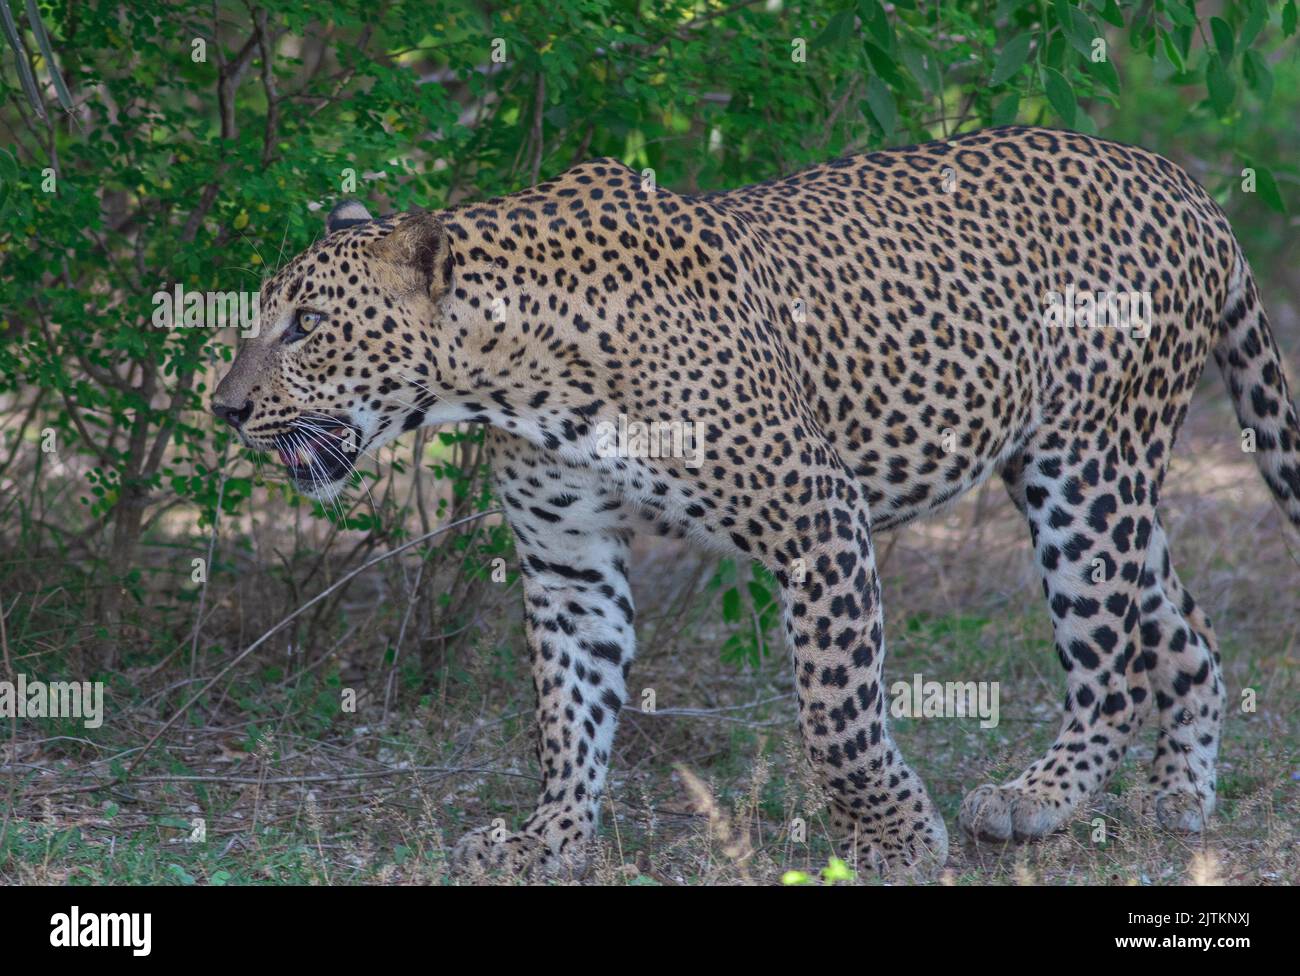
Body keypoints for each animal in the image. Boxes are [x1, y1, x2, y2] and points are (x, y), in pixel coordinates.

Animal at [213, 126, 1300, 883]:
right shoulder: (569, 562)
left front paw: (896, 838)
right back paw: (1178, 795)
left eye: (306, 325)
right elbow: (568, 714)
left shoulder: (816, 516)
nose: (224, 407)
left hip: (1087, 470)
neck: (509, 374)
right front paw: (548, 839)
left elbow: (836, 712)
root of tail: (1186, 186)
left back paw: (1040, 797)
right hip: (1075, 471)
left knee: (1110, 658)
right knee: (1183, 631)